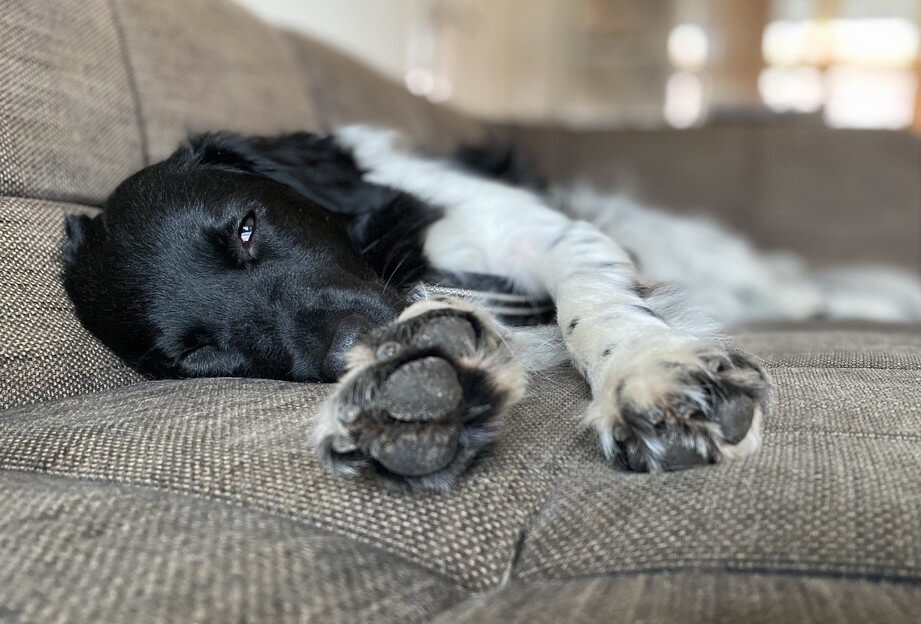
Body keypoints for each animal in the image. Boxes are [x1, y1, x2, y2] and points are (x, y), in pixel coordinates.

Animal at [63, 124, 920, 490]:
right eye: (201, 355)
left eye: (244, 228)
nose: (354, 344)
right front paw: (408, 397)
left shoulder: (541, 232)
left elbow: (592, 308)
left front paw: (643, 374)